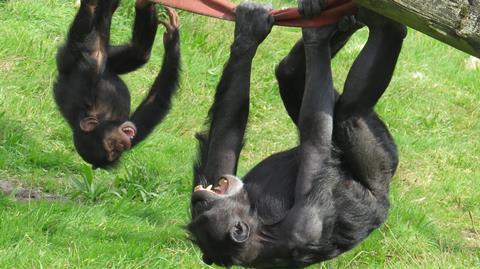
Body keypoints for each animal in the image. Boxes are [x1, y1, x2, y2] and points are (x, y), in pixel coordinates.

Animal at [53, 0, 180, 168]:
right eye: (112, 148)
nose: (123, 144)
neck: (102, 117)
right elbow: (156, 101)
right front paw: (173, 43)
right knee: (137, 51)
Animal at [187, 2, 404, 268]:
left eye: (201, 206)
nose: (198, 195)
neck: (257, 223)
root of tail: (385, 203)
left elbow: (223, 150)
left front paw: (246, 36)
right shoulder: (304, 223)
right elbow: (315, 140)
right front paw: (314, 36)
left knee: (288, 73)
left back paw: (345, 22)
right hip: (382, 161)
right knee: (348, 112)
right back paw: (385, 27)